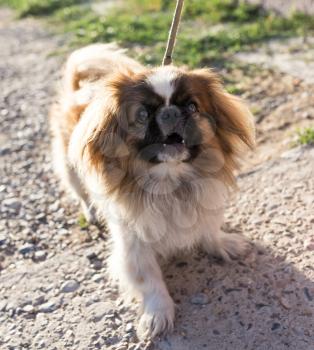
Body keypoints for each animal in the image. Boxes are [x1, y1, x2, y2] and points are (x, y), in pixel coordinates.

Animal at [49, 42, 255, 338]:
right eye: (143, 115)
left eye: (192, 106)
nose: (170, 112)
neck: (171, 183)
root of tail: (77, 91)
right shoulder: (133, 244)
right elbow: (150, 280)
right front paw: (157, 315)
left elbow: (209, 231)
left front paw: (224, 244)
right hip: (71, 170)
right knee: (80, 193)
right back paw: (91, 213)